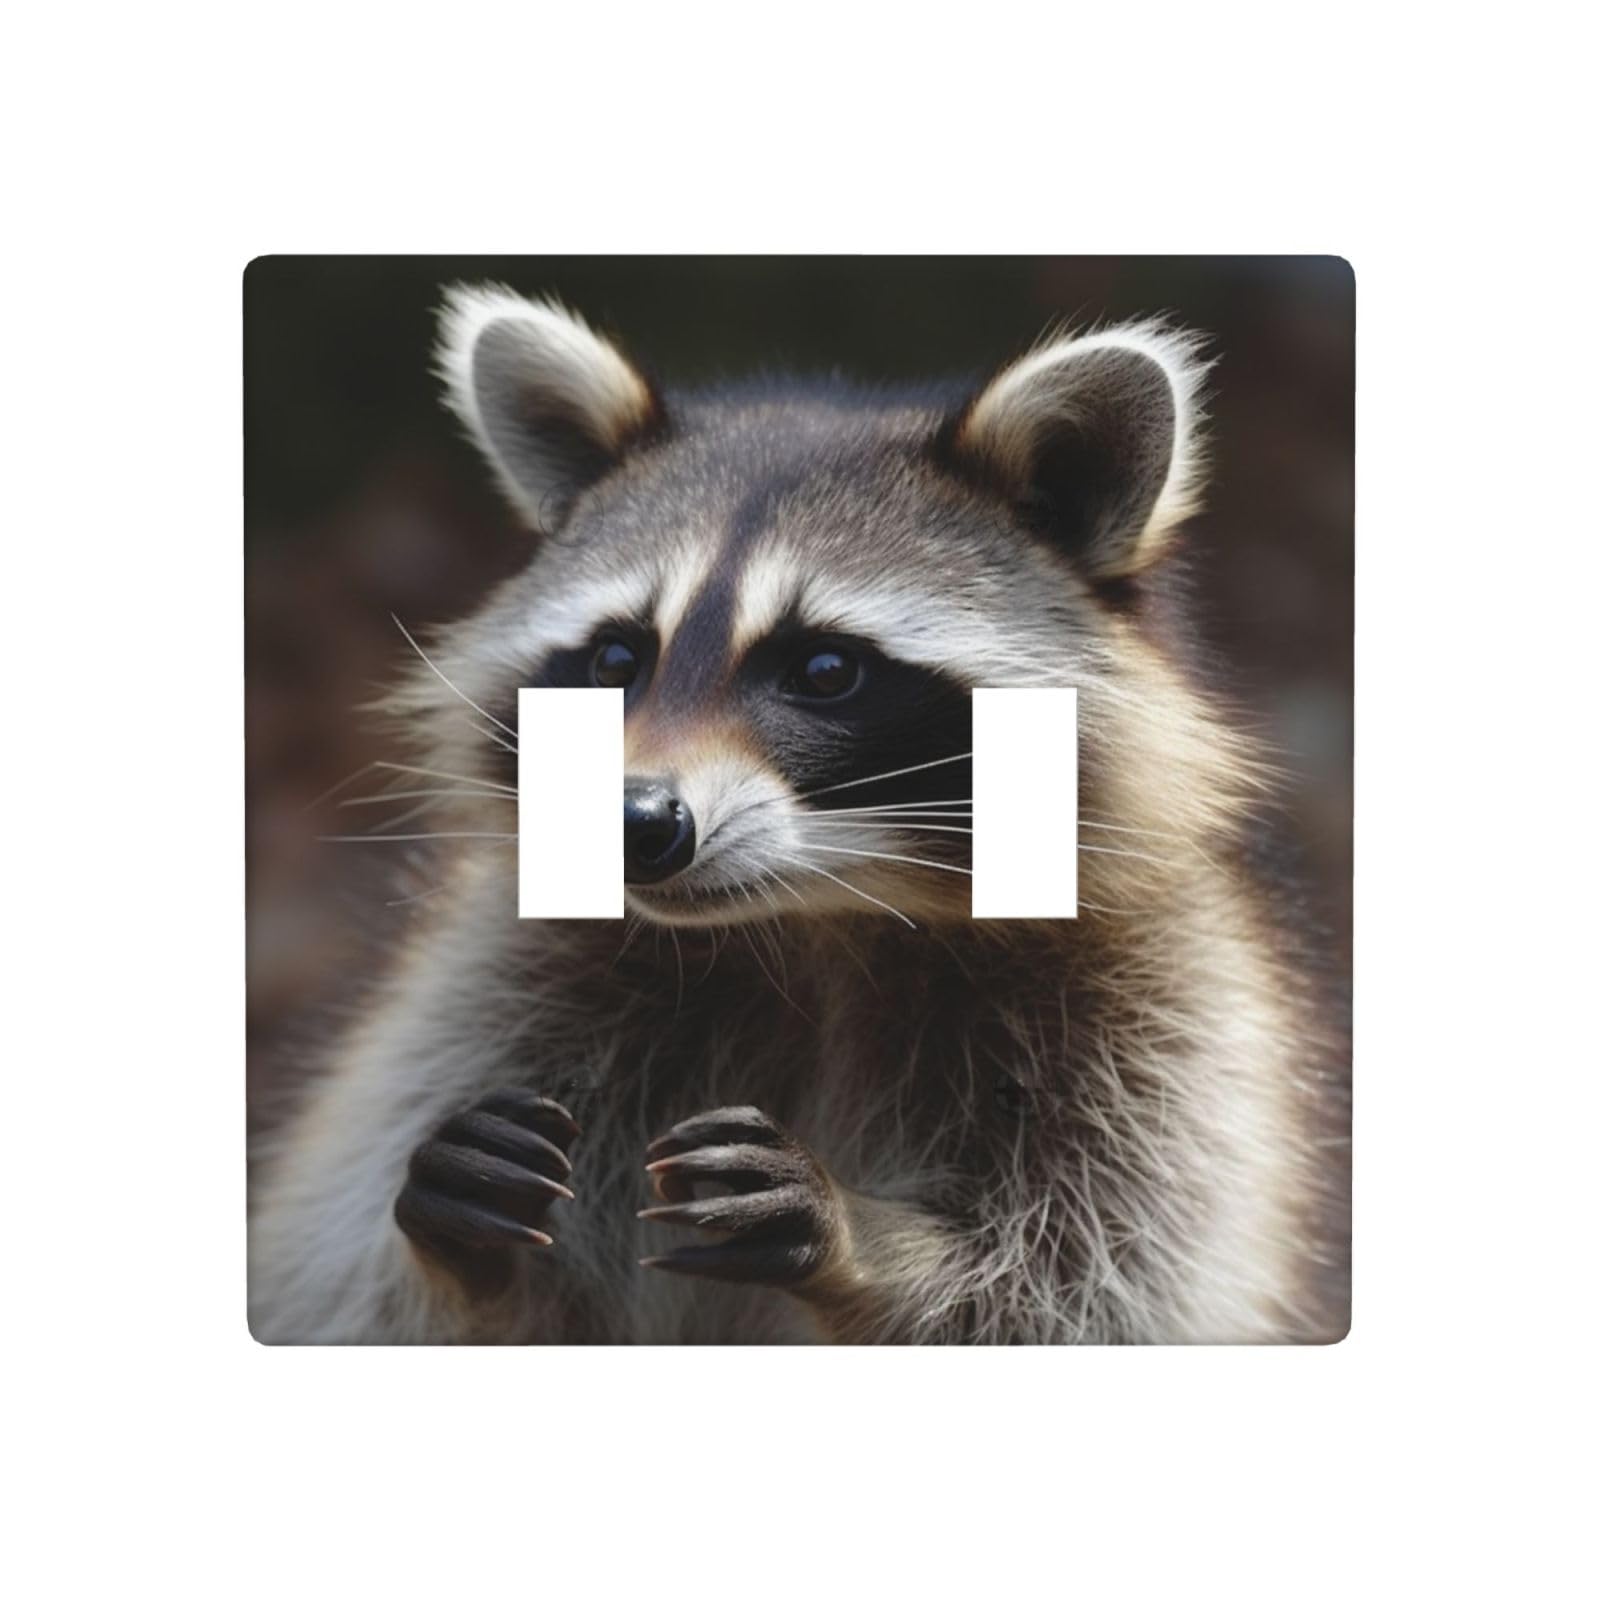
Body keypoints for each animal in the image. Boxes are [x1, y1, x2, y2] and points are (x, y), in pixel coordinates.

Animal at [248, 285, 1348, 1344]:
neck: (811, 921)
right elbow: (362, 1283)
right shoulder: (503, 982)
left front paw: (869, 1244)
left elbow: (1090, 1282)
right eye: (614, 658)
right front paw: (466, 1259)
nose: (632, 823)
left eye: (824, 670)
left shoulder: (1163, 1017)